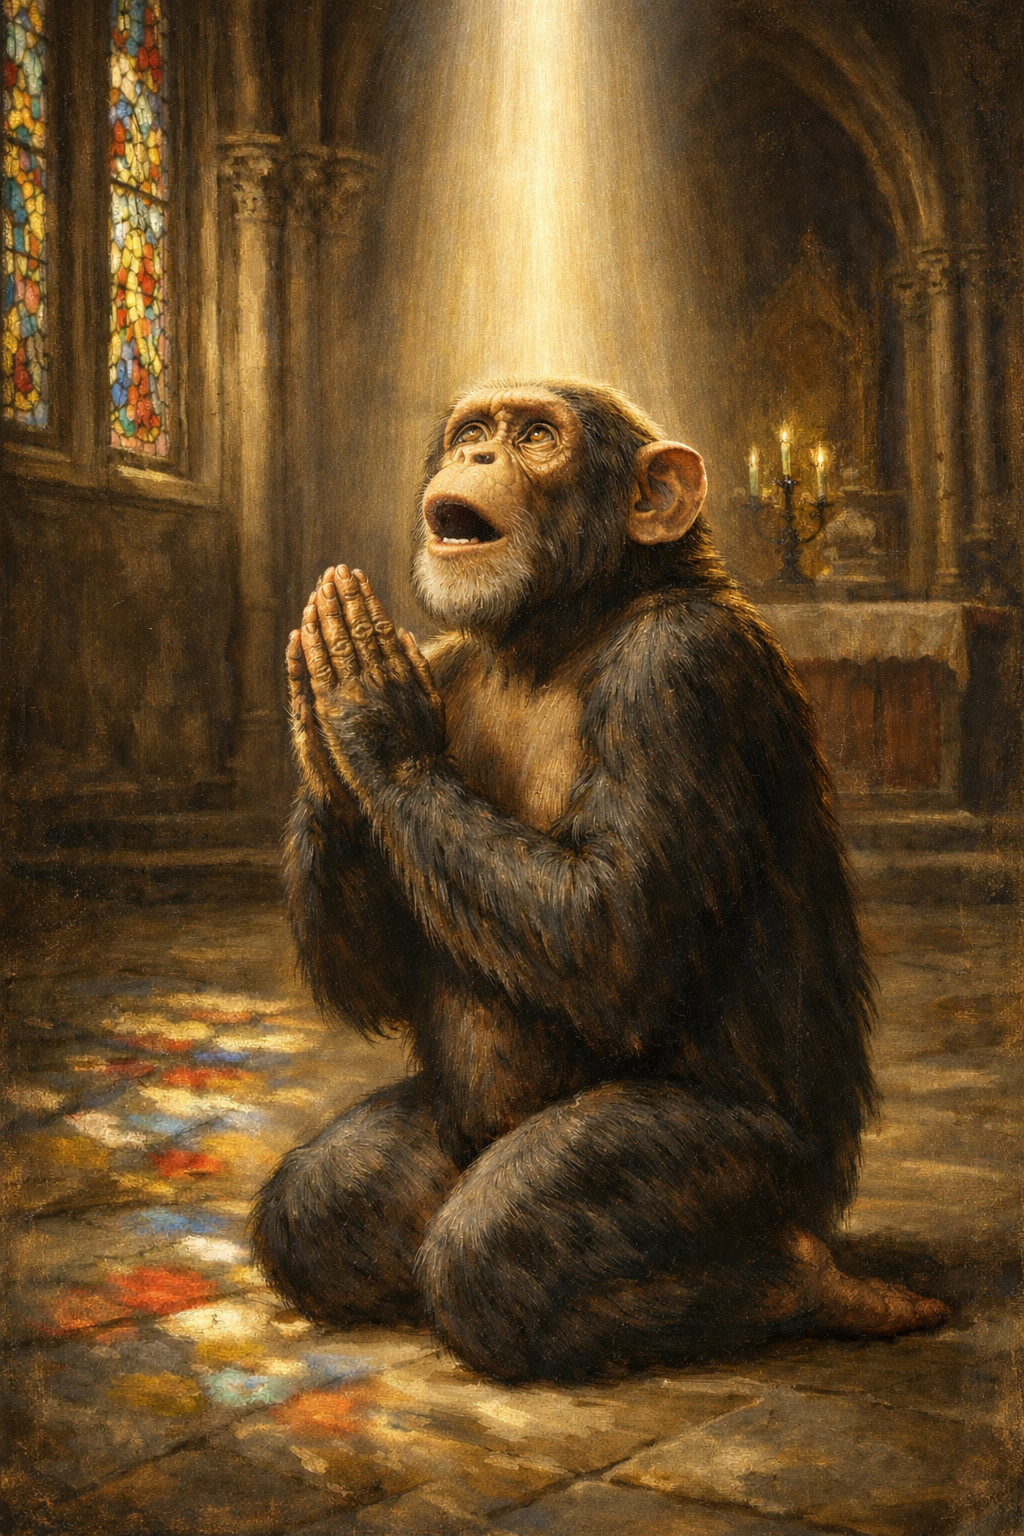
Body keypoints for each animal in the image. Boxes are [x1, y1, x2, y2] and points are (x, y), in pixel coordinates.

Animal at [252, 379, 949, 1384]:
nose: (478, 458)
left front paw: (370, 716)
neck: (560, 628)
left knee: (497, 1246)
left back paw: (813, 1287)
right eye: (474, 432)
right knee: (324, 1198)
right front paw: (329, 754)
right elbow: (375, 980)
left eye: (538, 437)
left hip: (760, 1175)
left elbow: (612, 936)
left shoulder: (678, 677)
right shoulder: (451, 654)